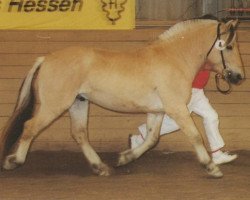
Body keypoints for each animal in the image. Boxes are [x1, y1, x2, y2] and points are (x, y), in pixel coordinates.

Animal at [0, 19, 243, 178]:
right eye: (229, 46)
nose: (239, 76)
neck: (174, 57)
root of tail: (45, 59)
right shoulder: (177, 108)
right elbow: (194, 136)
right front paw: (211, 167)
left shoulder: (157, 111)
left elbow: (152, 139)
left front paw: (124, 158)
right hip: (55, 105)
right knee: (30, 127)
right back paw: (14, 161)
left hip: (79, 103)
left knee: (79, 133)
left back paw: (100, 167)